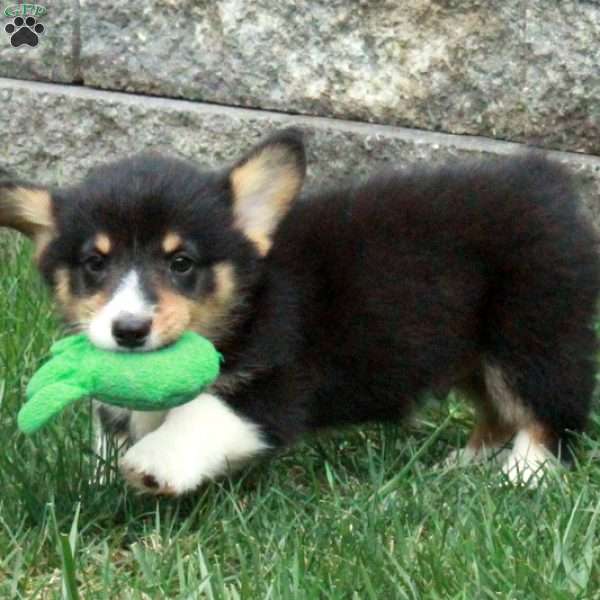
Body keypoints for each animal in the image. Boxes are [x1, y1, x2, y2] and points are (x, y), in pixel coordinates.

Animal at [1, 130, 600, 492]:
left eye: (181, 262)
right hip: (475, 351)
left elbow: (205, 414)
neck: (245, 303)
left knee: (549, 412)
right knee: (498, 412)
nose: (128, 331)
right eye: (94, 264)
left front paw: (156, 462)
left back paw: (520, 475)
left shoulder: (276, 386)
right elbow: (114, 423)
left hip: (530, 332)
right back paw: (464, 465)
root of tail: (550, 186)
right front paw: (100, 482)